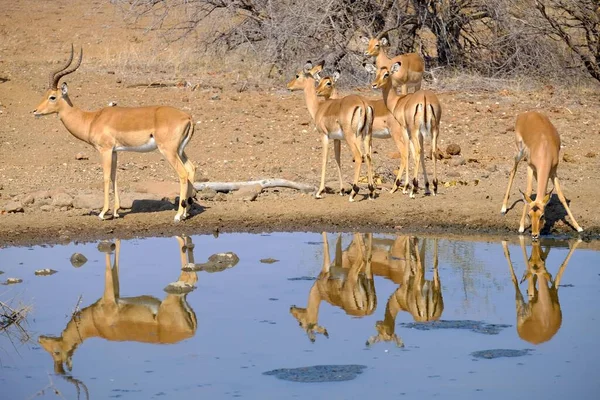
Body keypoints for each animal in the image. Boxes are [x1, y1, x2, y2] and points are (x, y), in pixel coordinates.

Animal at [33, 46, 197, 225]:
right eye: (45, 94)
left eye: (52, 97)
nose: (35, 111)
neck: (91, 119)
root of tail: (188, 117)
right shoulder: (115, 151)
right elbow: (114, 176)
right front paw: (116, 211)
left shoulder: (104, 150)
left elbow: (105, 177)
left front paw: (103, 212)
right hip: (180, 151)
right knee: (191, 169)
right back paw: (186, 212)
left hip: (168, 151)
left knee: (183, 174)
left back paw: (178, 215)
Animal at [39, 236, 199, 374]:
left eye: (56, 352)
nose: (40, 339)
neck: (93, 322)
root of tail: (191, 332)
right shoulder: (115, 293)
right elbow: (115, 264)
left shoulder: (109, 297)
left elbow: (108, 269)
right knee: (192, 275)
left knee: (187, 268)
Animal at [288, 61, 376, 202]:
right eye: (319, 81)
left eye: (297, 75)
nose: (289, 86)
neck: (319, 108)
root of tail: (363, 104)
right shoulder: (336, 139)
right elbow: (337, 159)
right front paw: (341, 190)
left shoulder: (324, 135)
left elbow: (324, 159)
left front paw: (319, 192)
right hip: (367, 135)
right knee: (368, 156)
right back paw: (371, 192)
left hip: (352, 137)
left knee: (359, 156)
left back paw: (353, 193)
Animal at [364, 63, 442, 198]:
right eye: (376, 73)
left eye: (386, 74)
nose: (374, 84)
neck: (398, 102)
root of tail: (425, 98)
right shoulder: (418, 134)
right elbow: (419, 155)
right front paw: (426, 187)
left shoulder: (405, 129)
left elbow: (407, 153)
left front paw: (406, 187)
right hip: (434, 130)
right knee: (431, 152)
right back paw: (434, 187)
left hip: (412, 131)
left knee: (412, 152)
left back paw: (409, 189)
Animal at [500, 111, 584, 239]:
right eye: (529, 215)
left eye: (542, 216)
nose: (534, 235)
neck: (544, 149)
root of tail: (526, 113)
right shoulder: (530, 166)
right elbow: (528, 191)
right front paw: (521, 227)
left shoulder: (553, 171)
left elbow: (561, 196)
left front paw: (578, 227)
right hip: (519, 153)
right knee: (513, 171)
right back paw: (504, 208)